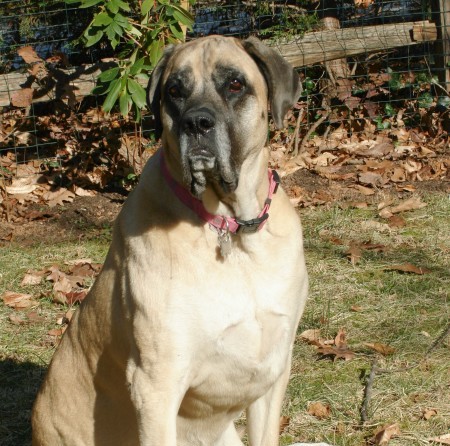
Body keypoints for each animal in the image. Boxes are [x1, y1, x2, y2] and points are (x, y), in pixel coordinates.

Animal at [32, 35, 310, 446]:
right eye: (175, 91)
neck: (228, 226)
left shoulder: (273, 370)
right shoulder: (156, 382)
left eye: (235, 84)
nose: (196, 123)